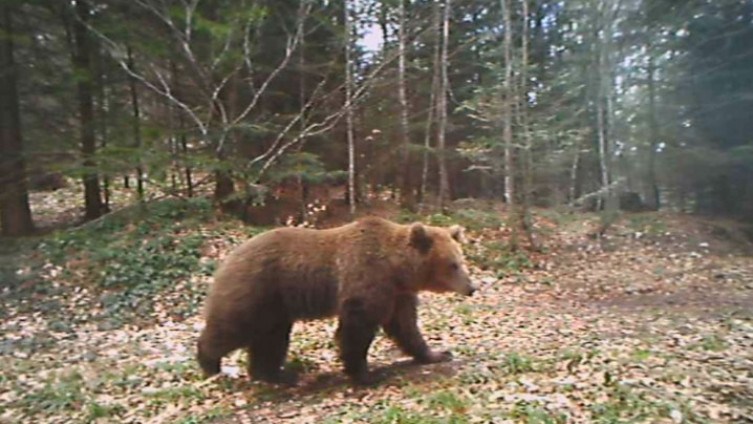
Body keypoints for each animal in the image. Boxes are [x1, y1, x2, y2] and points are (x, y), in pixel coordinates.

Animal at [197, 217, 472, 386]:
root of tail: (227, 258)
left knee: (271, 338)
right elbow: (357, 328)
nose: (471, 287)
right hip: (256, 292)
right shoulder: (366, 279)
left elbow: (405, 327)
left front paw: (437, 353)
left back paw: (277, 374)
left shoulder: (398, 294)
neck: (396, 269)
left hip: (275, 307)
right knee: (233, 327)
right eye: (453, 264)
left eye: (461, 260)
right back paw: (211, 365)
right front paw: (365, 374)